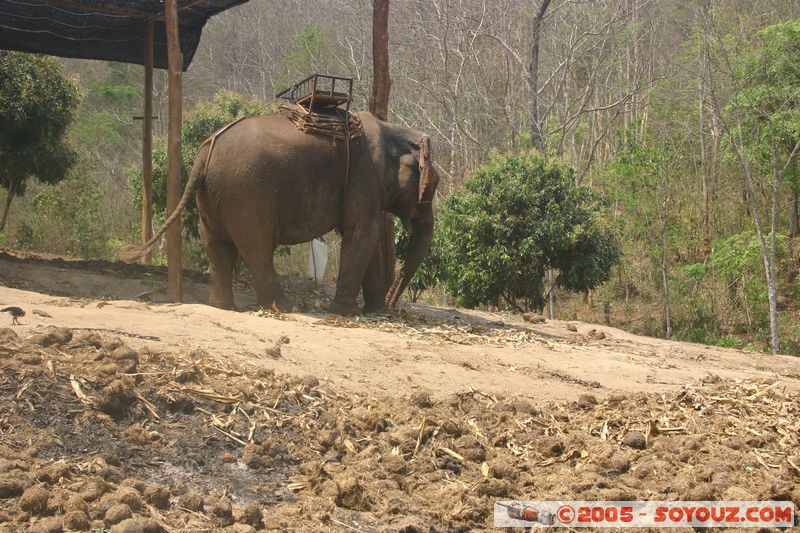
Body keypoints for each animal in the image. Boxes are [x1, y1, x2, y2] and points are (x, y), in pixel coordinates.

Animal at [119, 111, 439, 315]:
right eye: (434, 185)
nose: (394, 306)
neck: (392, 130)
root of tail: (204, 152)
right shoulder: (364, 176)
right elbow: (362, 232)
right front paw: (347, 313)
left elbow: (364, 235)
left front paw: (374, 312)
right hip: (247, 194)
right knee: (256, 247)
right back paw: (284, 308)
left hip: (211, 196)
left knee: (218, 246)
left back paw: (223, 307)